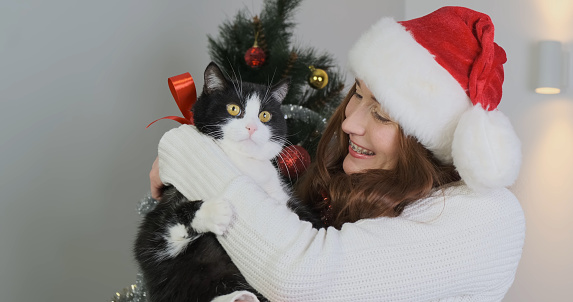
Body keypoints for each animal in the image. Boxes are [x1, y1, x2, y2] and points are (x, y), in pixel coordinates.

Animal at [135, 62, 322, 302]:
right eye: (234, 109)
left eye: (264, 115)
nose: (251, 127)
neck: (243, 163)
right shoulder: (153, 239)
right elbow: (163, 233)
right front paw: (216, 212)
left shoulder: (283, 197)